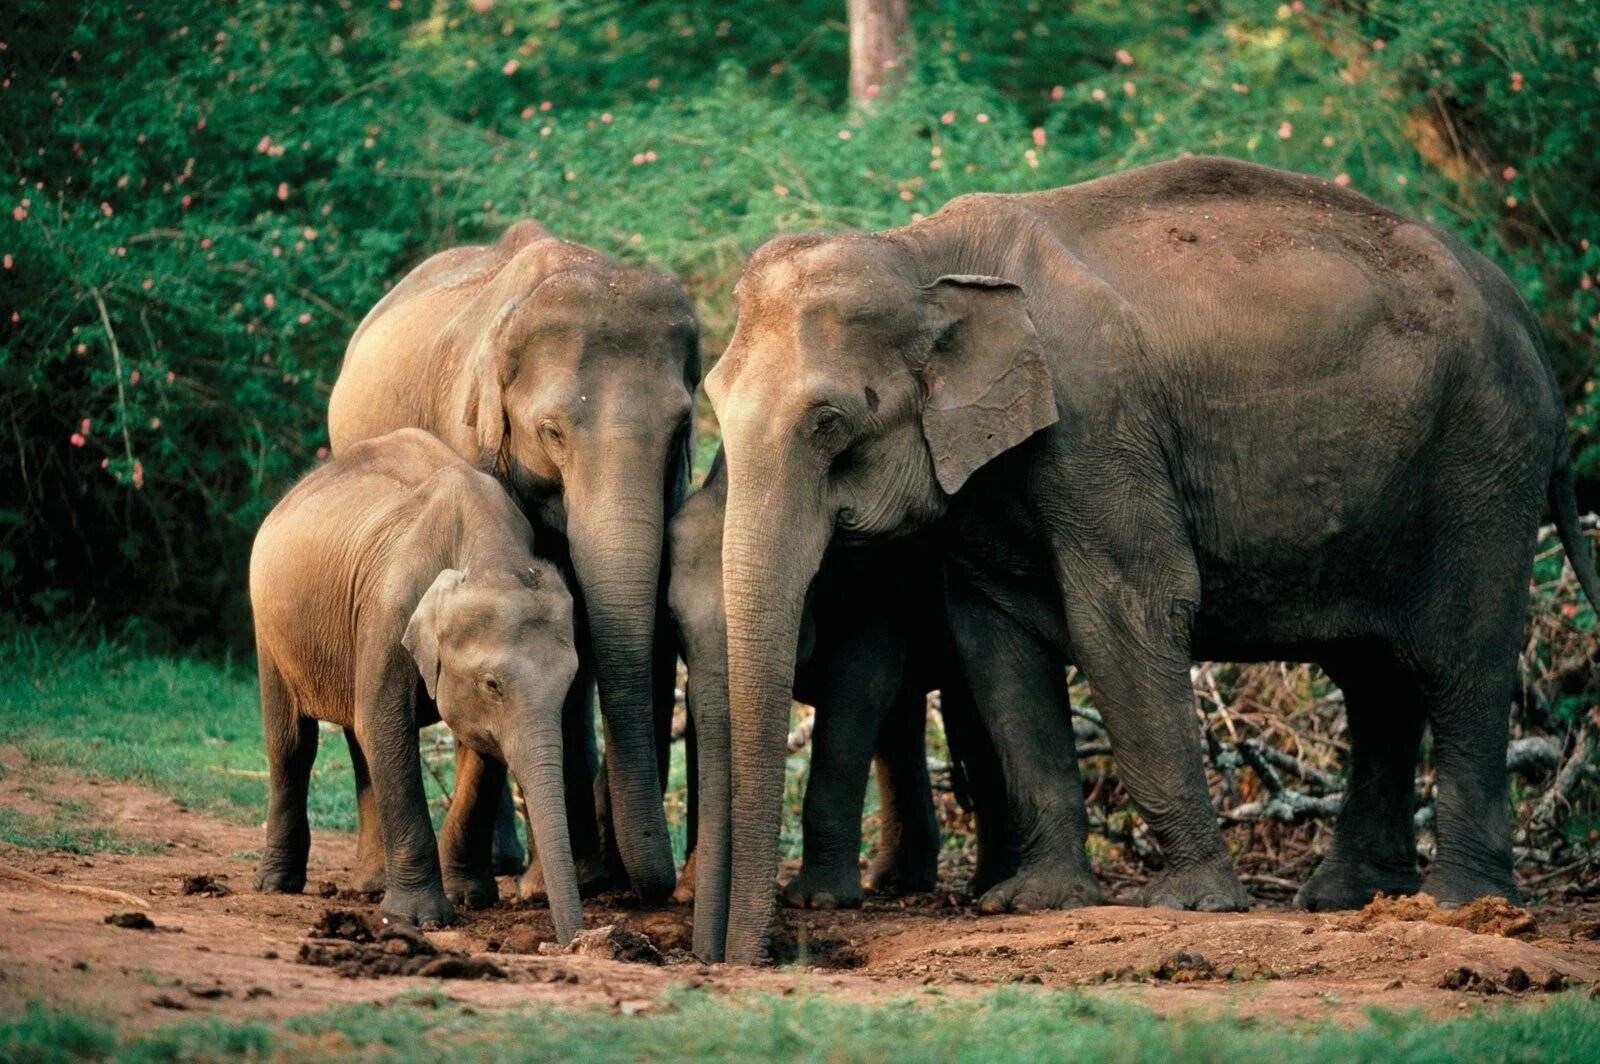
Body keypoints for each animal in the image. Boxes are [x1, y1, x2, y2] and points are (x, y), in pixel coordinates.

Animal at [256, 422, 588, 940]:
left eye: (571, 681)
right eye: (492, 684)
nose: (573, 941)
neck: (490, 555)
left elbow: (477, 749)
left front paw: (470, 897)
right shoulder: (388, 610)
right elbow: (387, 726)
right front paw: (421, 919)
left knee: (358, 740)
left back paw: (371, 885)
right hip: (270, 626)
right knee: (293, 743)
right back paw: (277, 884)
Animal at [328, 219, 697, 902]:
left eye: (681, 430)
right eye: (551, 432)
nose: (648, 885)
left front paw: (572, 880)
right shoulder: (472, 437)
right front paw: (539, 888)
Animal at [662, 451, 1011, 953]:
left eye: (810, 584)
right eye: (673, 620)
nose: (710, 957)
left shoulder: (874, 577)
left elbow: (861, 686)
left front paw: (818, 901)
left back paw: (987, 887)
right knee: (903, 723)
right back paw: (898, 883)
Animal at [697, 153, 1600, 960]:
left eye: (830, 423)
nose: (748, 958)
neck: (924, 253)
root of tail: (1520, 311)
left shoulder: (1099, 426)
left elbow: (1127, 616)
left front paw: (1193, 904)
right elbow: (995, 645)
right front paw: (1034, 902)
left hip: (1486, 460)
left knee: (1463, 659)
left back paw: (1460, 905)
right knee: (1374, 676)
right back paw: (1350, 897)